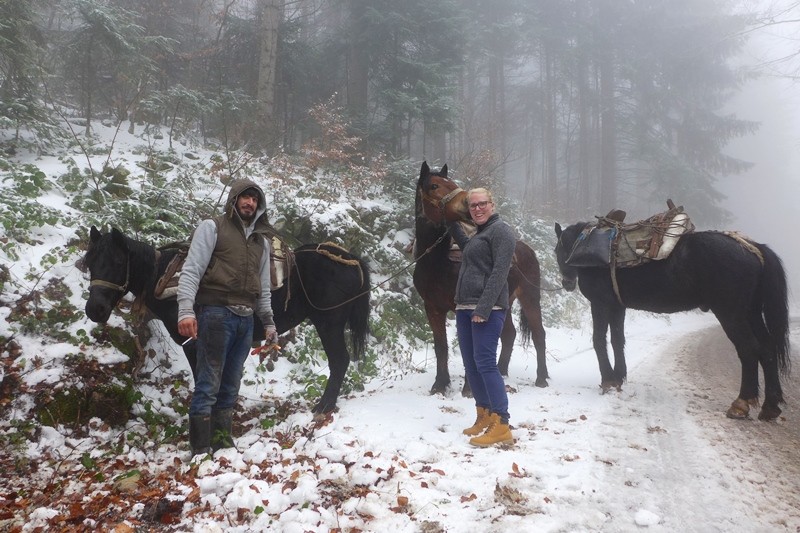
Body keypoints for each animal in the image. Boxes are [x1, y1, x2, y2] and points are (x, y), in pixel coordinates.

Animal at [83, 224, 370, 412]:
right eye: (90, 262)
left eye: (118, 262)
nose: (94, 309)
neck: (168, 280)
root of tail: (350, 258)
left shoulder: (194, 342)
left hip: (329, 324)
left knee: (340, 361)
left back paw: (324, 406)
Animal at [412, 162, 552, 394]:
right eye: (434, 186)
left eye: (452, 183)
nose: (467, 203)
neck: (438, 263)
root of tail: (527, 249)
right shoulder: (432, 308)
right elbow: (441, 347)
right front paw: (440, 384)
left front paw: (469, 388)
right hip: (503, 303)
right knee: (509, 334)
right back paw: (500, 371)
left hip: (530, 297)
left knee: (538, 333)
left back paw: (541, 377)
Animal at [552, 220, 792, 420]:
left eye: (557, 250)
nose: (567, 282)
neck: (587, 248)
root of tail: (752, 246)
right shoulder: (617, 306)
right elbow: (617, 340)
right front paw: (619, 377)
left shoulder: (600, 304)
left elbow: (599, 340)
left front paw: (608, 380)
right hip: (751, 312)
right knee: (767, 349)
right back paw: (770, 406)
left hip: (731, 314)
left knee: (749, 349)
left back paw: (741, 404)